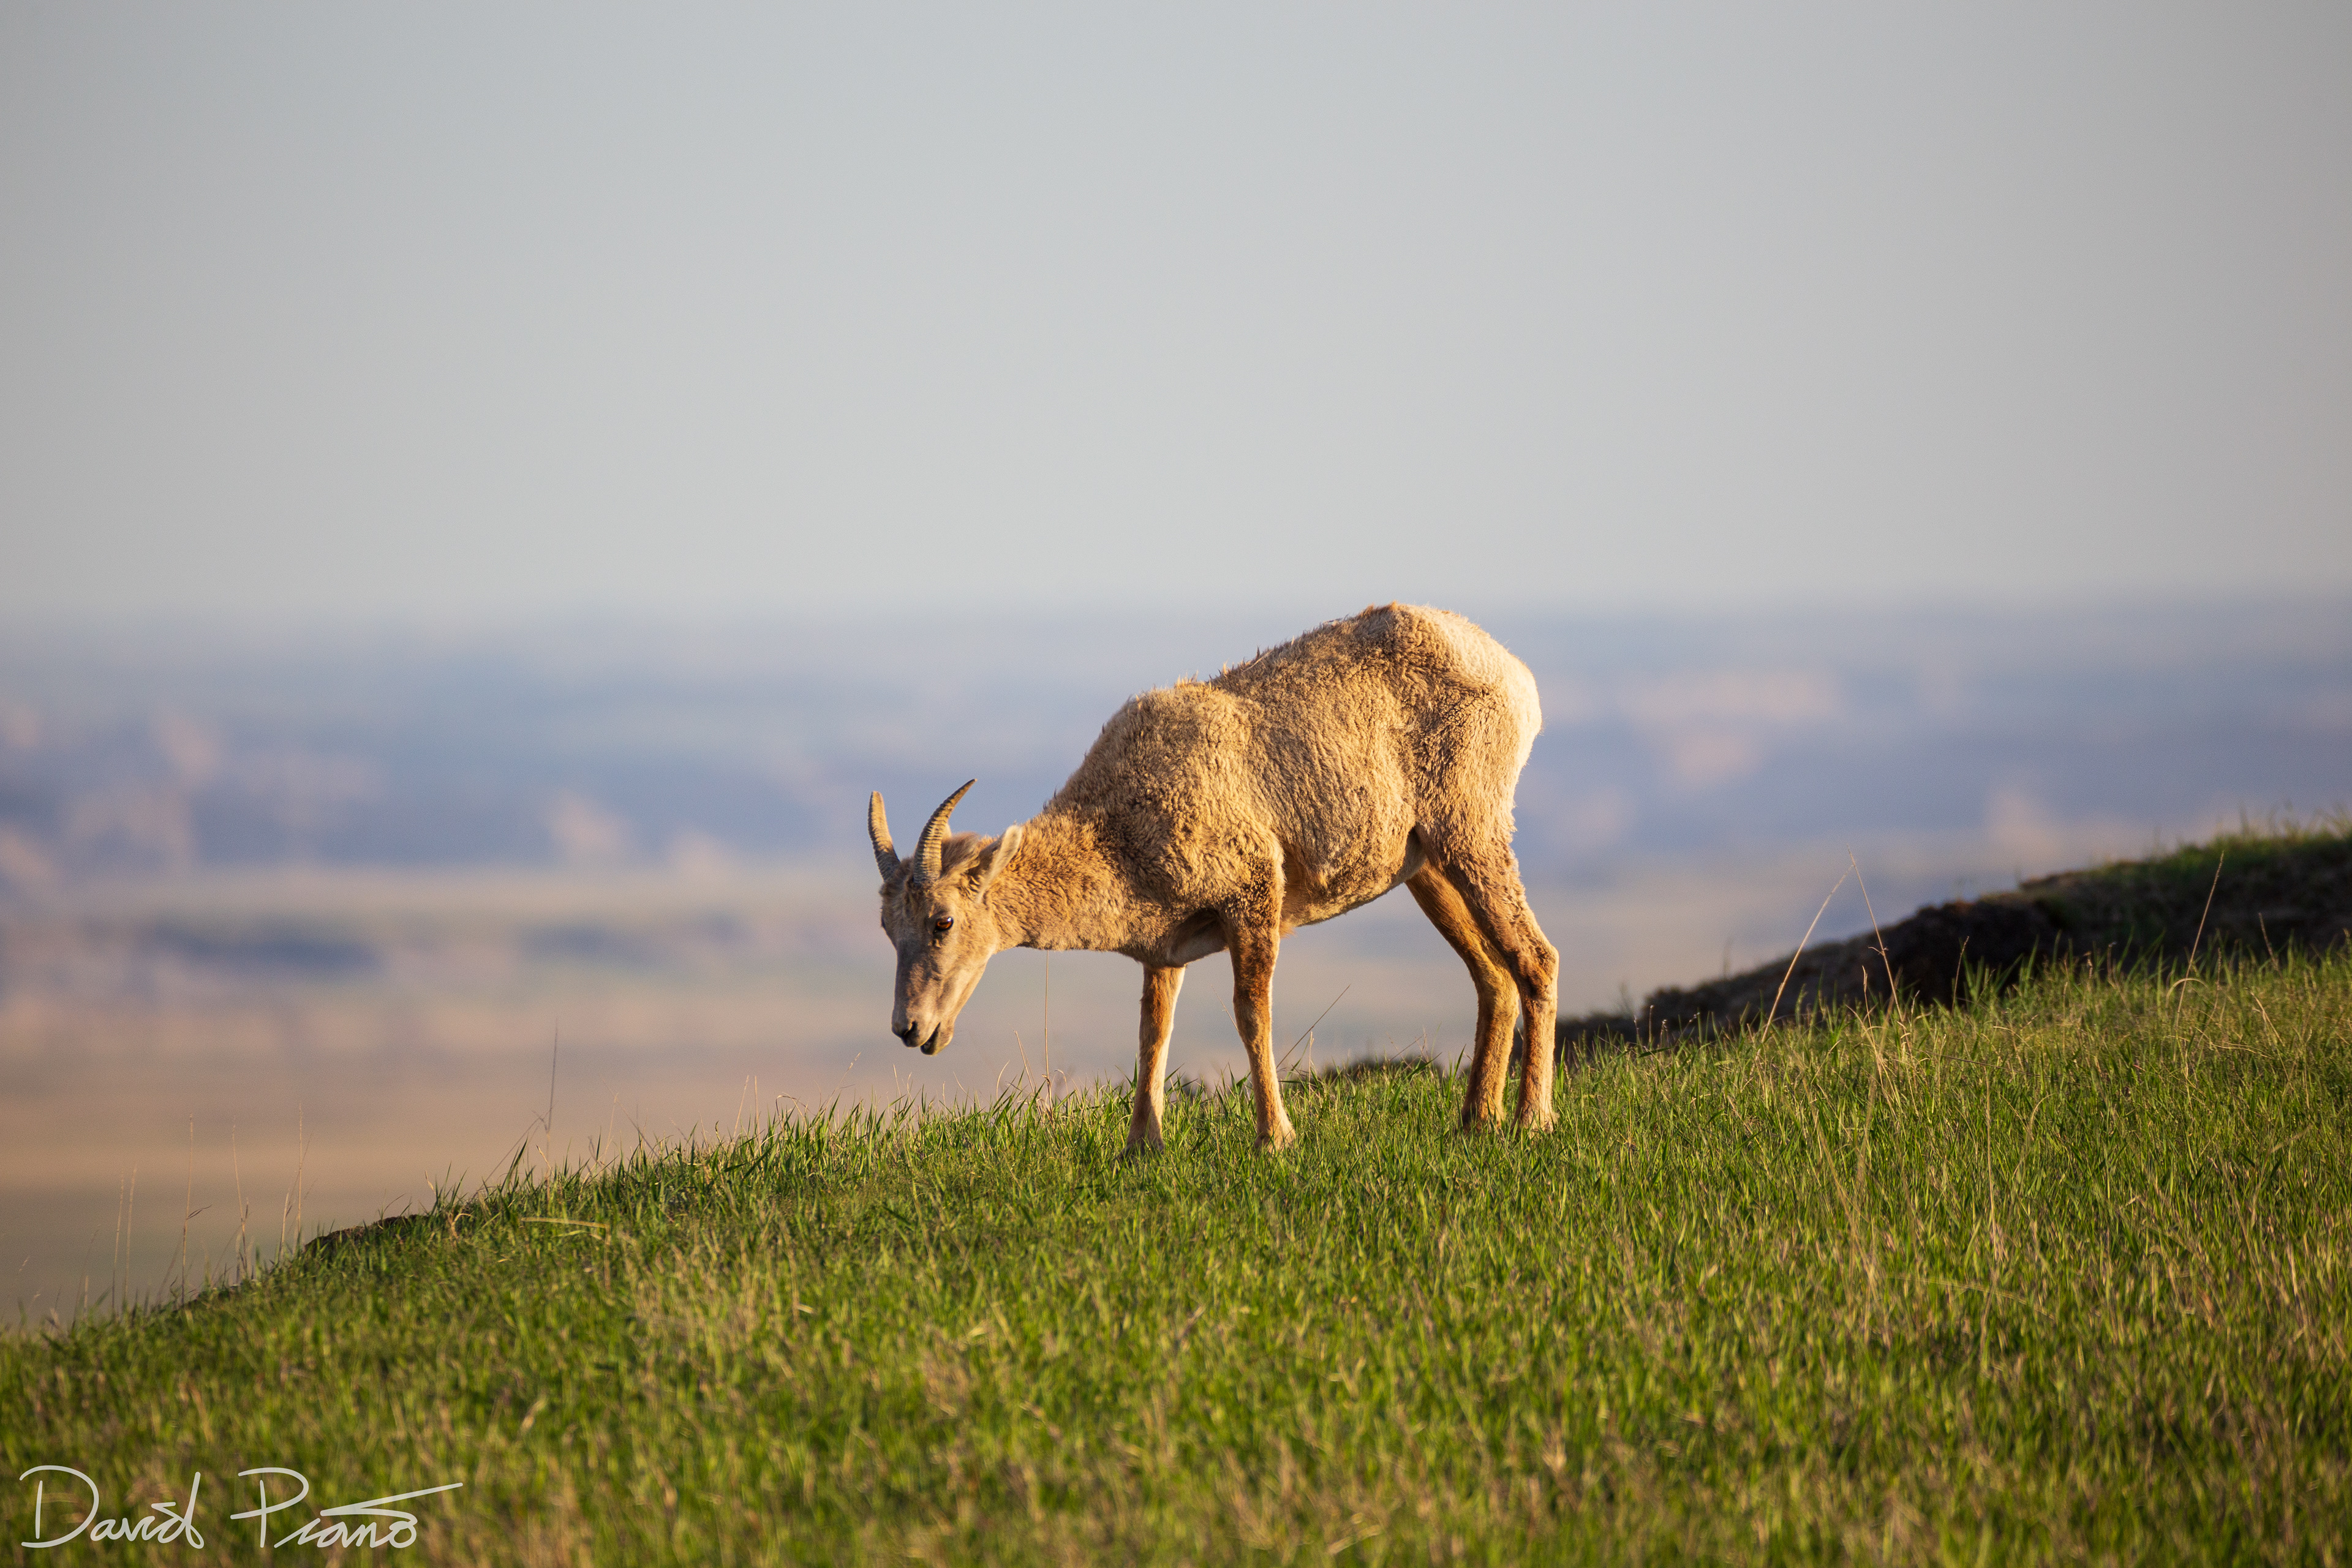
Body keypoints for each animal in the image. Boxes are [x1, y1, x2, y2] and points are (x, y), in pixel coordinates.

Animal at [866, 602, 1560, 1150]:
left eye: (942, 921)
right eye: (887, 928)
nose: (909, 1029)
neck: (1120, 819)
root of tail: (1517, 676)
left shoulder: (1252, 898)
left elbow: (1252, 1014)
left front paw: (1274, 1138)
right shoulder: (1164, 950)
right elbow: (1153, 1032)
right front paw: (1142, 1146)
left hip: (1473, 834)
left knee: (1536, 958)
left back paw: (1533, 1122)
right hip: (1428, 869)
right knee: (1494, 977)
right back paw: (1476, 1122)